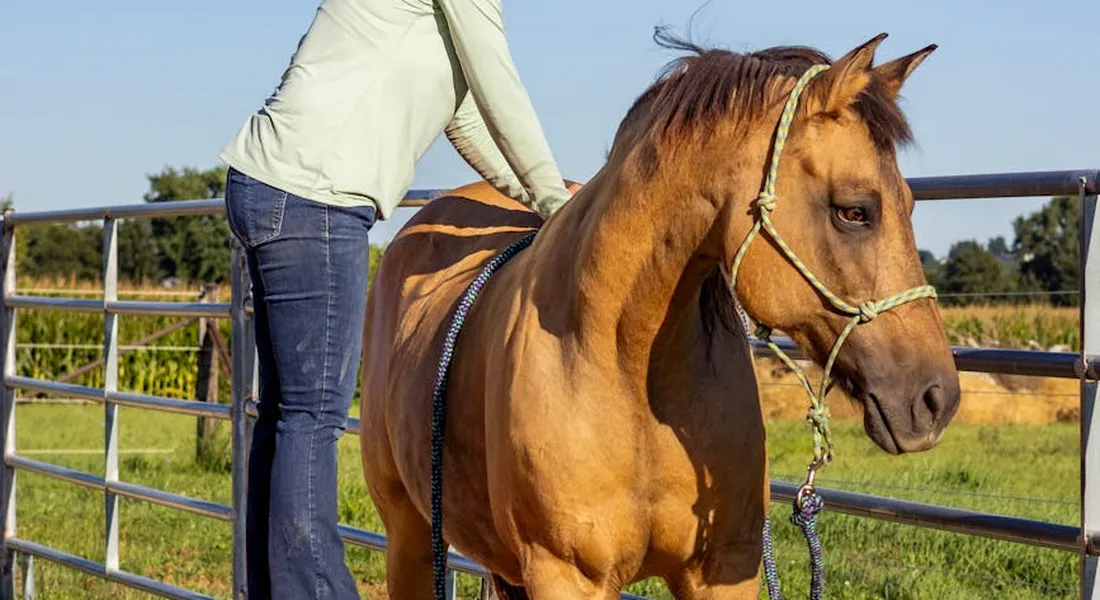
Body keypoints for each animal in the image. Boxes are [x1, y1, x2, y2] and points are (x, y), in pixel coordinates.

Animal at [358, 31, 961, 599]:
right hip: (410, 539)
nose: (937, 400)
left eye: (908, 204)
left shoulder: (725, 570)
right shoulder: (566, 576)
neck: (626, 373)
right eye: (854, 211)